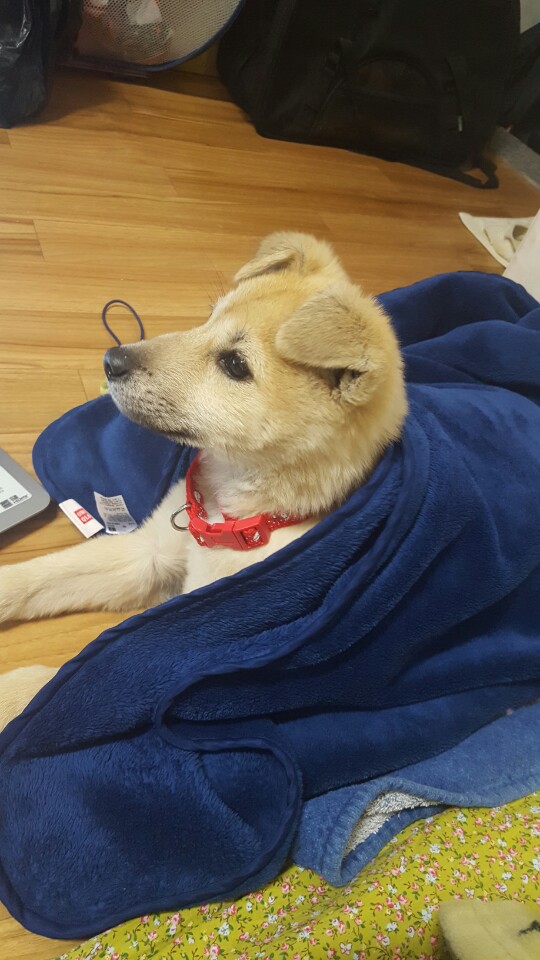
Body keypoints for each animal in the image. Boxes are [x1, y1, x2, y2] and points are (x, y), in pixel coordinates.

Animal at [0, 233, 406, 729]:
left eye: (234, 364)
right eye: (210, 317)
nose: (111, 359)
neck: (231, 513)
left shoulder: (185, 638)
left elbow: (62, 685)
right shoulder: (147, 556)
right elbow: (36, 576)